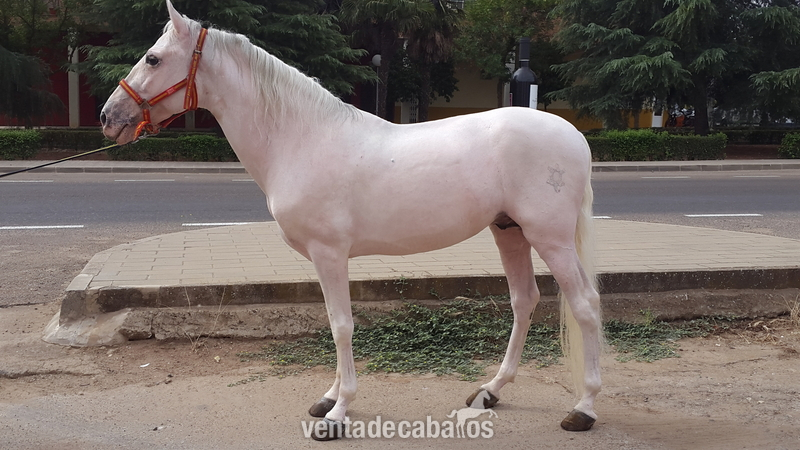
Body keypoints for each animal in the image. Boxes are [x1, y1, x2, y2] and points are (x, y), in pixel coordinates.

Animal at [100, 0, 603, 440]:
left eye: (153, 58)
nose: (108, 116)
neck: (301, 139)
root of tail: (575, 135)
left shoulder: (329, 254)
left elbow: (342, 326)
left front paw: (338, 414)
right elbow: (332, 321)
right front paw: (329, 397)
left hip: (550, 238)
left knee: (584, 304)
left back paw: (584, 408)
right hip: (509, 232)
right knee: (524, 300)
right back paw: (491, 391)